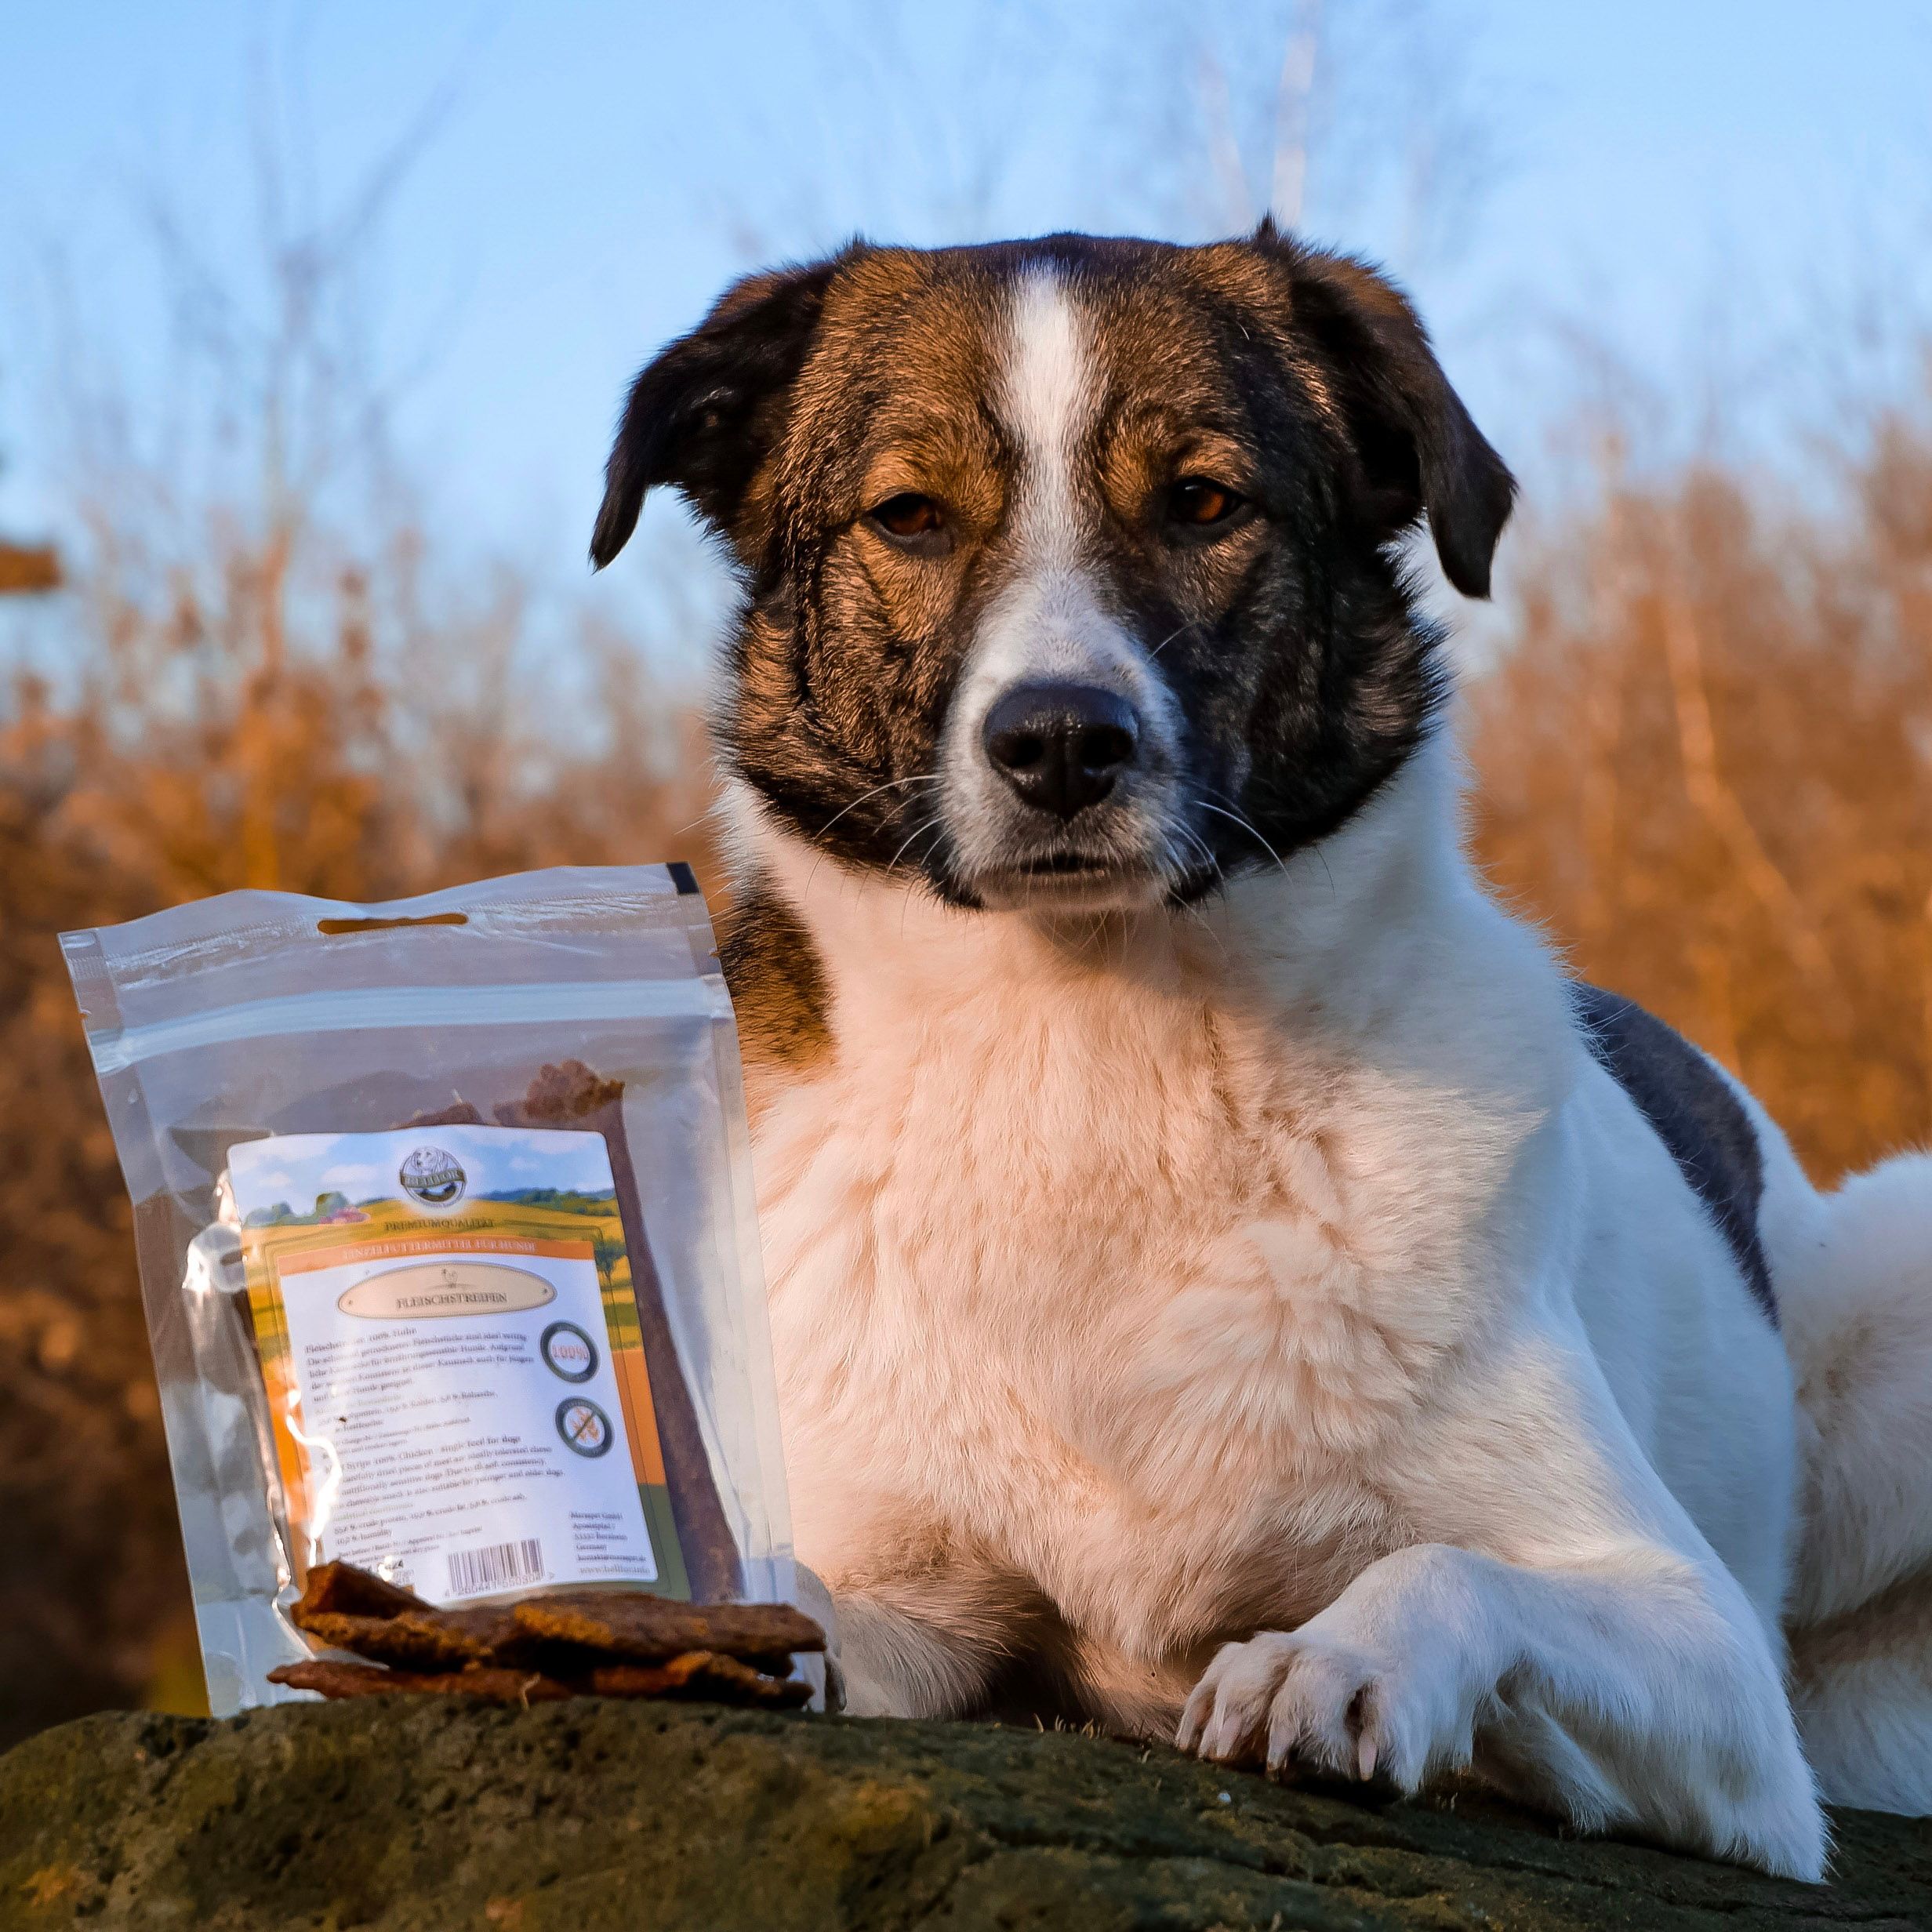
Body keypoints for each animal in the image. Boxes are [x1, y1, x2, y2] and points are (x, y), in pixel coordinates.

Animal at [587, 222, 1932, 1870]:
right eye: (907, 514)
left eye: (1202, 501)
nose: (1058, 742)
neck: (1092, 1061)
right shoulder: (908, 1587)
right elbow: (821, 1612)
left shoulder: (1713, 1667)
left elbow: (1449, 1565)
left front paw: (1336, 1658)